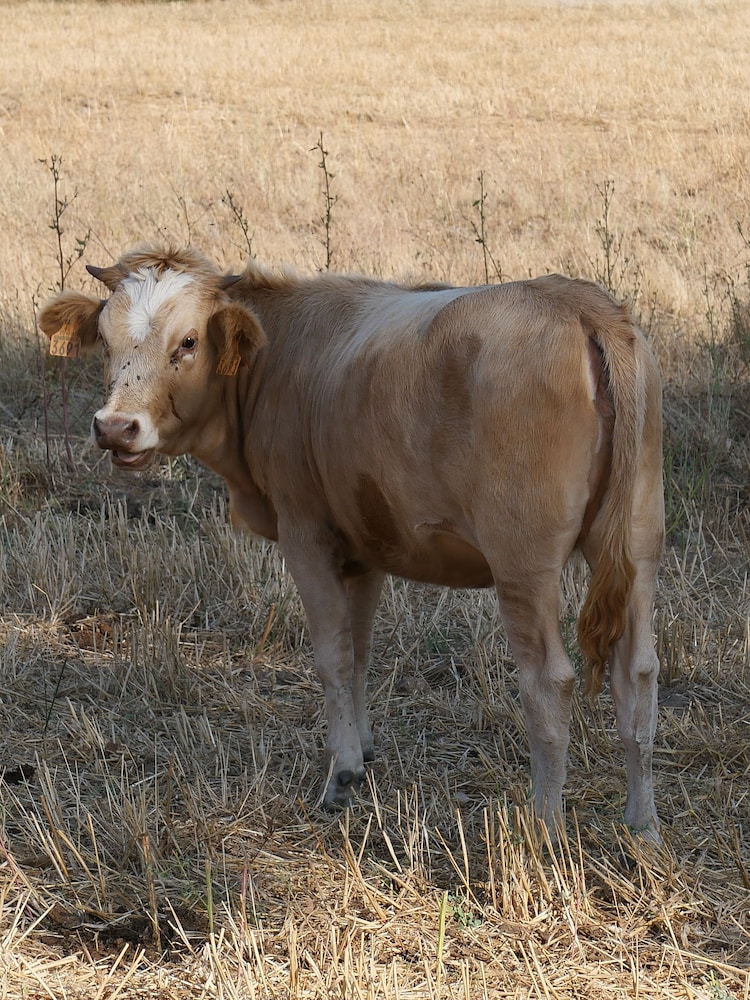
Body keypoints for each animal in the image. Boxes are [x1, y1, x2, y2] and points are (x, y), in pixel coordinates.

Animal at [39, 245, 664, 839]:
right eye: (105, 337)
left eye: (188, 341)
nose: (115, 427)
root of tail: (577, 301)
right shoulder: (367, 547)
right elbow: (361, 653)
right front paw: (362, 749)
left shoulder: (305, 535)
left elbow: (333, 656)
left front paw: (340, 774)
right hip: (636, 549)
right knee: (636, 674)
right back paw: (644, 827)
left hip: (523, 563)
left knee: (549, 682)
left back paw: (545, 831)